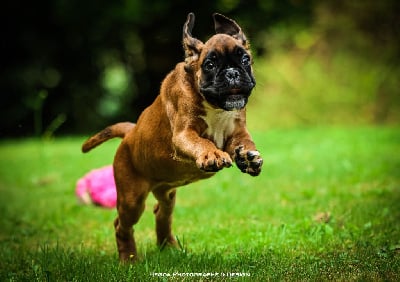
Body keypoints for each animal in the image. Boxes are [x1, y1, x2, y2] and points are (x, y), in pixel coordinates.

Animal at [81, 12, 262, 262]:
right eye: (210, 64)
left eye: (245, 59)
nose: (232, 73)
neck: (215, 107)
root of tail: (130, 133)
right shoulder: (184, 134)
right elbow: (201, 141)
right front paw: (212, 154)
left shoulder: (237, 131)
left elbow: (245, 142)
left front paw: (248, 158)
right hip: (131, 199)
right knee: (122, 225)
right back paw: (129, 259)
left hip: (167, 193)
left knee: (161, 212)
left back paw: (169, 247)